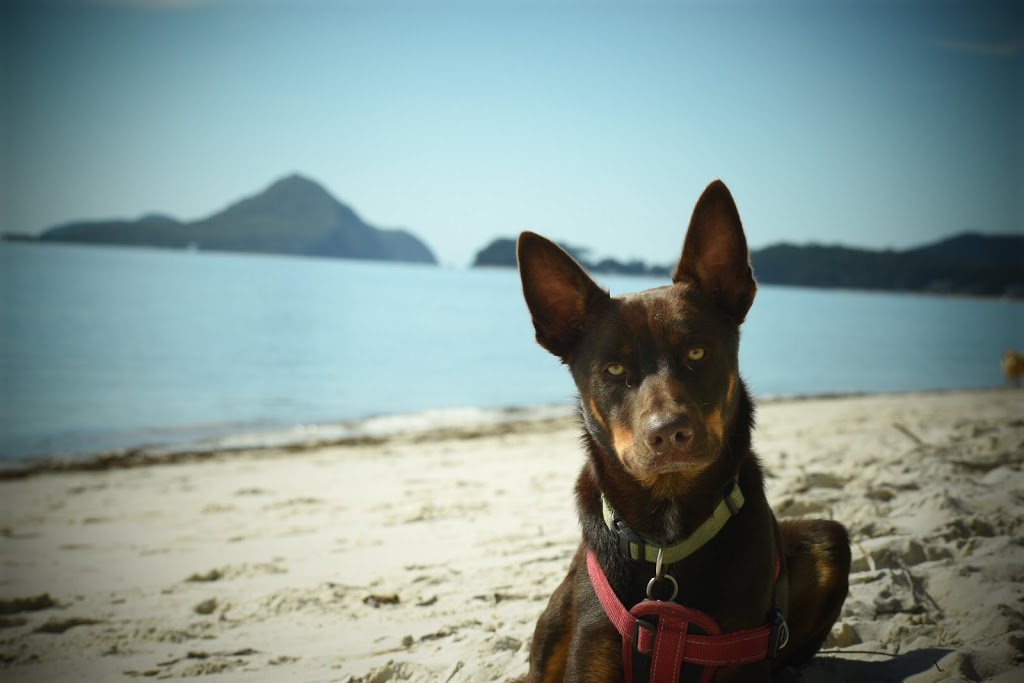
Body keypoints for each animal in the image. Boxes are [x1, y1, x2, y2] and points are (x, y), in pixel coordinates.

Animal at [516, 179, 851, 679]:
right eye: (614, 369)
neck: (666, 541)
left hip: (827, 540)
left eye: (696, 353)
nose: (668, 433)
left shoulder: (739, 650)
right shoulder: (594, 643)